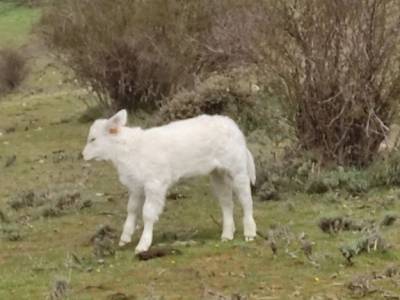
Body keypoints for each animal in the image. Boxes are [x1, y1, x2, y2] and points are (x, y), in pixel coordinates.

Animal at [82, 110, 256, 253]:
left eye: (93, 139)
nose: (83, 155)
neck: (127, 151)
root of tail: (232, 125)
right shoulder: (136, 186)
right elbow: (131, 210)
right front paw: (125, 238)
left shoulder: (154, 184)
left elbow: (148, 213)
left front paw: (143, 244)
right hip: (218, 173)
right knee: (226, 202)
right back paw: (227, 234)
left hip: (238, 169)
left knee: (246, 200)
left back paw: (249, 232)